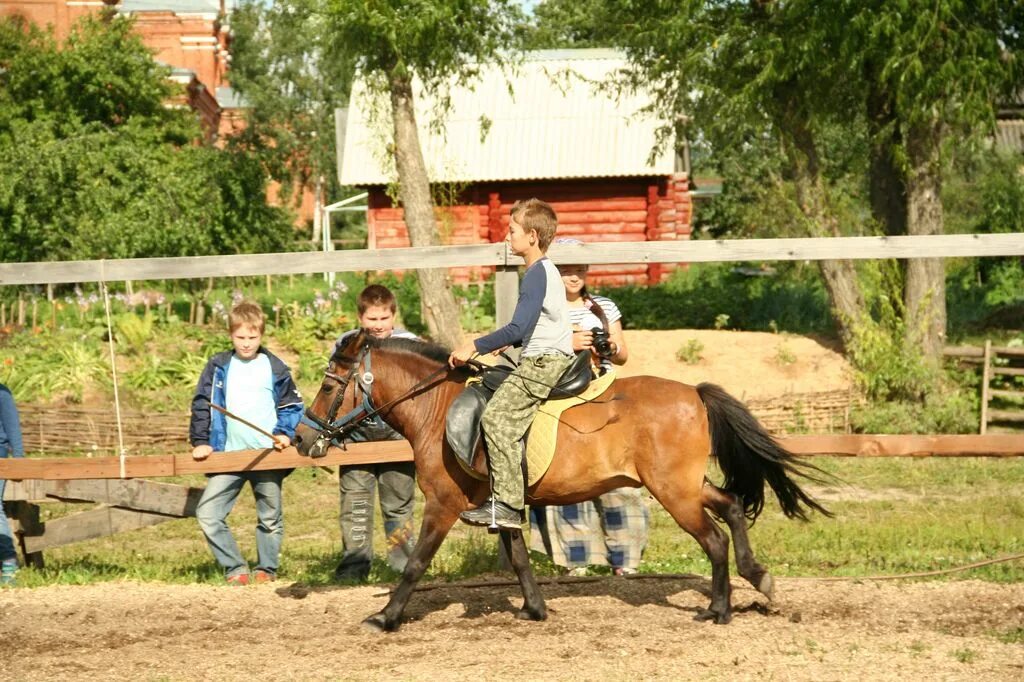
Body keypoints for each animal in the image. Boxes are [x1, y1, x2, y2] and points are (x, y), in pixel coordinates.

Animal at [292, 331, 827, 630]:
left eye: (329, 386)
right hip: (686, 486)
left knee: (714, 540)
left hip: (673, 492)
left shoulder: (443, 505)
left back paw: (718, 610)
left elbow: (416, 565)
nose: (300, 437)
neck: (435, 408)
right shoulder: (502, 505)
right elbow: (519, 559)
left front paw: (385, 618)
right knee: (732, 505)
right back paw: (758, 577)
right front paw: (535, 609)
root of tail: (693, 392)